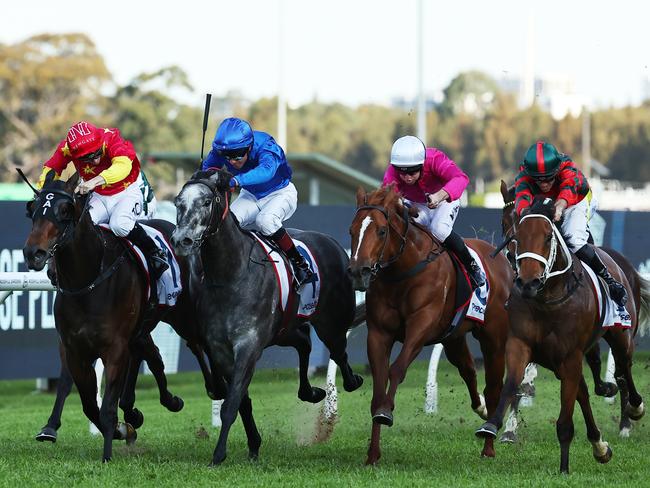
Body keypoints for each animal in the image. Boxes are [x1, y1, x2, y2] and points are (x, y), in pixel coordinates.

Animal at [20, 173, 210, 462]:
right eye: (32, 209)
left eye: (65, 210)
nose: (34, 253)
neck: (88, 282)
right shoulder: (75, 349)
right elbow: (89, 405)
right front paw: (124, 427)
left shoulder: (115, 347)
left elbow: (107, 407)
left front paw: (108, 453)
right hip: (142, 327)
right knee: (152, 355)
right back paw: (148, 405)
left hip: (182, 316)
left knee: (196, 345)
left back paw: (212, 388)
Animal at [168, 169, 364, 466]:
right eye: (178, 202)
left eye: (206, 202)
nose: (182, 241)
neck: (230, 274)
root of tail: (334, 244)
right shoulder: (221, 348)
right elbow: (241, 401)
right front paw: (253, 445)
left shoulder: (249, 345)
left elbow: (232, 402)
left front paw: (219, 454)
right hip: (284, 330)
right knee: (305, 342)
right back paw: (311, 392)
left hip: (331, 323)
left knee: (339, 353)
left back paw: (352, 382)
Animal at [346, 184, 512, 466]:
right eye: (352, 230)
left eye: (381, 230)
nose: (359, 271)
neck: (404, 271)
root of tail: (502, 261)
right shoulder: (379, 333)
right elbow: (378, 384)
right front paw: (372, 454)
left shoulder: (421, 324)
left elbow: (397, 369)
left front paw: (386, 412)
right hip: (453, 337)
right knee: (468, 369)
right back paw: (479, 407)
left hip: (494, 337)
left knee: (494, 386)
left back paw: (488, 444)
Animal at [476, 197, 644, 472]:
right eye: (517, 236)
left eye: (547, 237)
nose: (528, 282)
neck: (548, 298)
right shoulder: (521, 344)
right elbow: (511, 383)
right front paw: (493, 426)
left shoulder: (570, 356)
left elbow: (566, 417)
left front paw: (564, 469)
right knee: (588, 389)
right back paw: (600, 445)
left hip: (621, 335)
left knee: (623, 369)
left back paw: (634, 408)